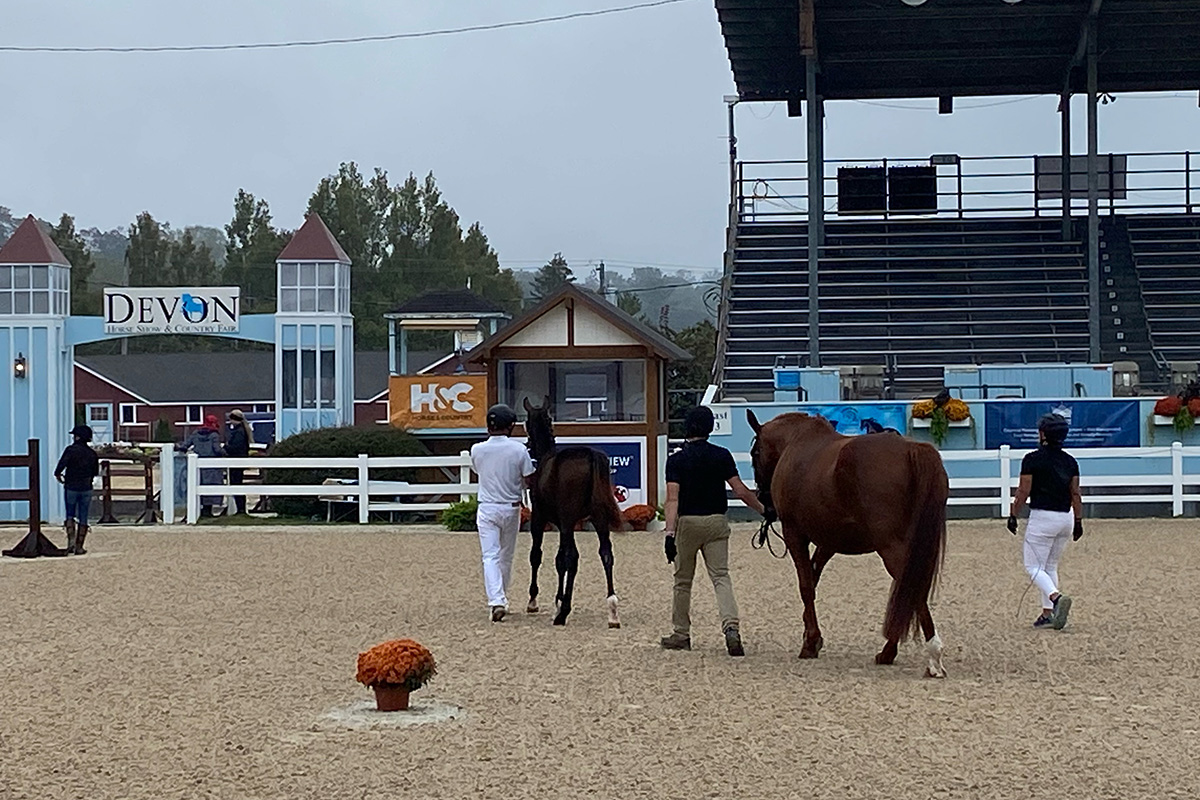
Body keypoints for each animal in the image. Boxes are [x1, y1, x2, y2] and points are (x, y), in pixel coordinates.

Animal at [520, 398, 624, 628]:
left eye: (526, 423)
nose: (527, 446)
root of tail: (589, 455)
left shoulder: (541, 519)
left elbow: (538, 555)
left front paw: (535, 601)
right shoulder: (563, 524)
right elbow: (559, 560)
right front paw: (558, 600)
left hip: (568, 522)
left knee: (572, 557)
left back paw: (563, 614)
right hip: (598, 519)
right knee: (606, 554)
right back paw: (612, 611)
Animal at [744, 410, 950, 681]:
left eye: (755, 453)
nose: (764, 502)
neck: (796, 443)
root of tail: (911, 449)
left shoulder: (795, 534)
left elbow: (806, 586)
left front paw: (810, 642)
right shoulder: (829, 541)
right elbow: (813, 579)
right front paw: (811, 638)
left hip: (892, 548)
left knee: (910, 588)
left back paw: (931, 656)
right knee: (907, 589)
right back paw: (889, 652)